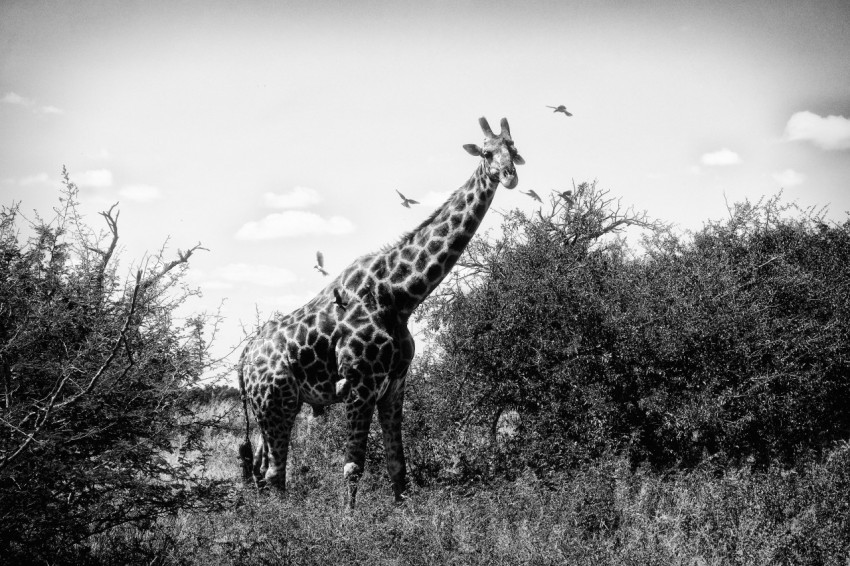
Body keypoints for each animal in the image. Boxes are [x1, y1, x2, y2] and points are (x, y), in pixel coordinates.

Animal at [235, 116, 520, 510]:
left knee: (260, 470)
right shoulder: (361, 383)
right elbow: (353, 465)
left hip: (268, 408)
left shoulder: (395, 383)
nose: (509, 176)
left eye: (515, 149)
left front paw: (403, 515)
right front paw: (348, 522)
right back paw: (284, 521)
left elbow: (397, 463)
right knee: (276, 473)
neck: (400, 296)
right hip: (278, 401)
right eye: (487, 153)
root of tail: (244, 360)